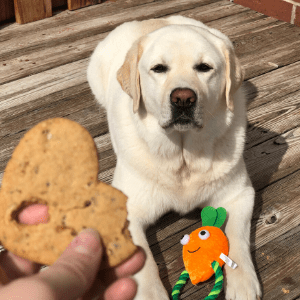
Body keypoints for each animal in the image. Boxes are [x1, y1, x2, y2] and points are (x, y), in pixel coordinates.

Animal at [86, 15, 260, 300]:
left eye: (204, 67)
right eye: (158, 69)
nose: (183, 99)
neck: (183, 157)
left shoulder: (240, 195)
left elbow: (237, 237)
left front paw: (243, 283)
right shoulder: (126, 209)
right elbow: (143, 260)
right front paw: (151, 293)